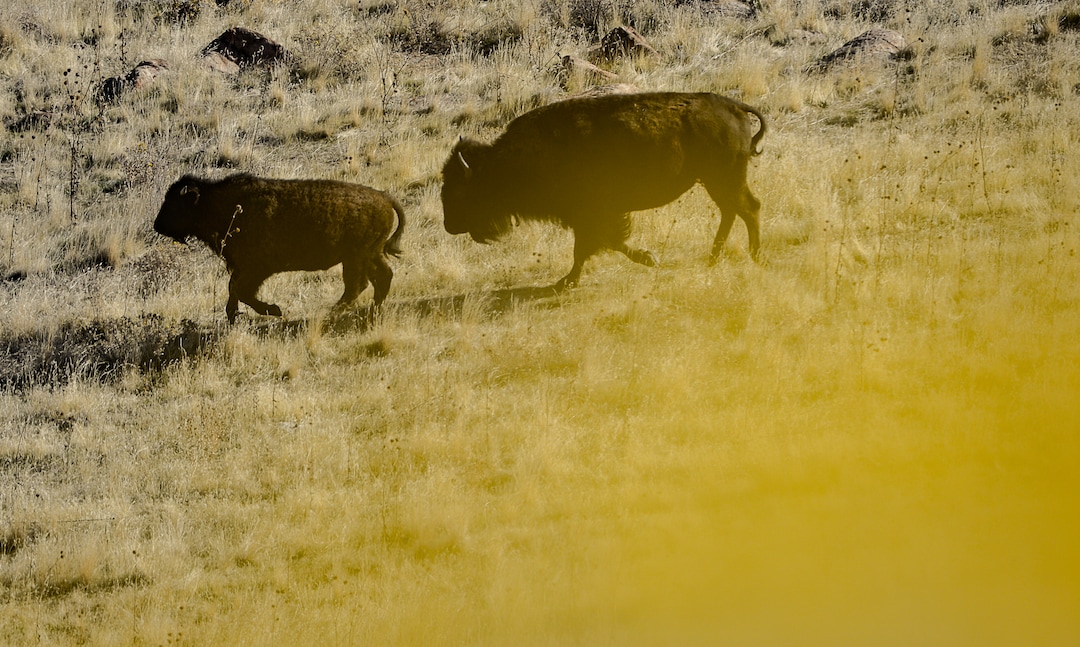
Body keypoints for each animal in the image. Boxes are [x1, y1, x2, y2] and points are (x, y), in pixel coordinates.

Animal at [155, 173, 405, 323]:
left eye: (175, 204)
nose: (157, 225)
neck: (219, 204)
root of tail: (384, 198)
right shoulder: (242, 268)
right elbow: (233, 288)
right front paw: (232, 315)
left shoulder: (257, 269)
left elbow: (241, 291)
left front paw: (275, 310)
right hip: (368, 255)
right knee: (382, 277)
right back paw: (373, 311)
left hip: (356, 257)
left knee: (358, 285)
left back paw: (330, 313)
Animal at [441, 91, 765, 289]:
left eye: (460, 191)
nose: (449, 226)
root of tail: (734, 106)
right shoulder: (588, 217)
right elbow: (603, 243)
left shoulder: (592, 215)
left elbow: (591, 246)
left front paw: (568, 281)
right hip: (716, 182)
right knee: (733, 212)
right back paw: (714, 257)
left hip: (724, 180)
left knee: (748, 209)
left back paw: (753, 256)